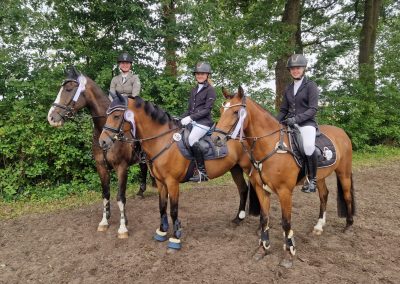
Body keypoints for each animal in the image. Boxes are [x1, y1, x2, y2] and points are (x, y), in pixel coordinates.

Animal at [46, 67, 152, 239]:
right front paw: (105, 220)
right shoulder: (101, 167)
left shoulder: (121, 167)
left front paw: (123, 227)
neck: (105, 128)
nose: (51, 118)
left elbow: (120, 197)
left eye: (68, 88)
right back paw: (140, 192)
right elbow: (105, 194)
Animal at [98, 93, 258, 251]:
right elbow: (162, 207)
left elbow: (173, 210)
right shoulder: (160, 182)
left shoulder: (172, 183)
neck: (162, 140)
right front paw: (162, 231)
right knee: (243, 189)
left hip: (248, 168)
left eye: (116, 116)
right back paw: (238, 218)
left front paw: (175, 238)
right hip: (235, 168)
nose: (102, 142)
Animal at [214, 87, 354, 268]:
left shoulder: (285, 191)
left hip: (344, 173)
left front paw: (289, 254)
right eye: (221, 110)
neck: (270, 145)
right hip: (320, 177)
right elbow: (264, 219)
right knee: (324, 195)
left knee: (347, 196)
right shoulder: (261, 189)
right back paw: (319, 226)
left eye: (236, 112)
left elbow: (286, 222)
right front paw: (263, 249)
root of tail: (341, 132)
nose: (216, 138)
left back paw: (348, 226)